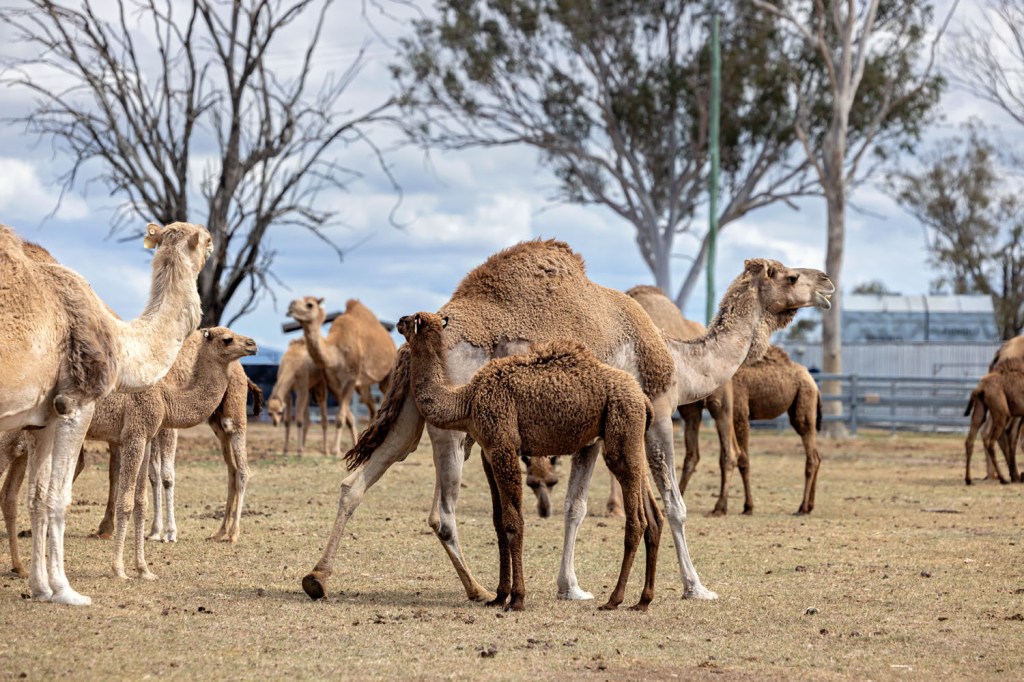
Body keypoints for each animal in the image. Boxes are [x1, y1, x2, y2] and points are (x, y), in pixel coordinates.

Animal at [0, 220, 210, 605]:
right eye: (207, 239)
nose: (214, 244)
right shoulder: (77, 405)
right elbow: (58, 498)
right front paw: (65, 590)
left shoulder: (43, 420)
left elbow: (37, 497)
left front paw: (41, 587)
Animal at [287, 298, 397, 454]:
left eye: (310, 304)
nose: (291, 306)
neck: (337, 352)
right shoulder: (333, 383)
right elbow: (348, 418)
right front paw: (351, 445)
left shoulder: (351, 378)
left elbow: (340, 417)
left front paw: (334, 450)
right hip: (362, 387)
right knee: (371, 407)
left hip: (387, 374)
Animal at [398, 312, 663, 611]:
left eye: (412, 320)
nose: (398, 321)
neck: (466, 401)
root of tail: (643, 400)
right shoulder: (489, 453)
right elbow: (499, 522)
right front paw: (499, 596)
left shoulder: (504, 447)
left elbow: (514, 522)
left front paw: (517, 598)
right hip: (631, 439)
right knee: (650, 515)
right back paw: (642, 600)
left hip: (621, 433)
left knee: (636, 520)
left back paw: (614, 599)